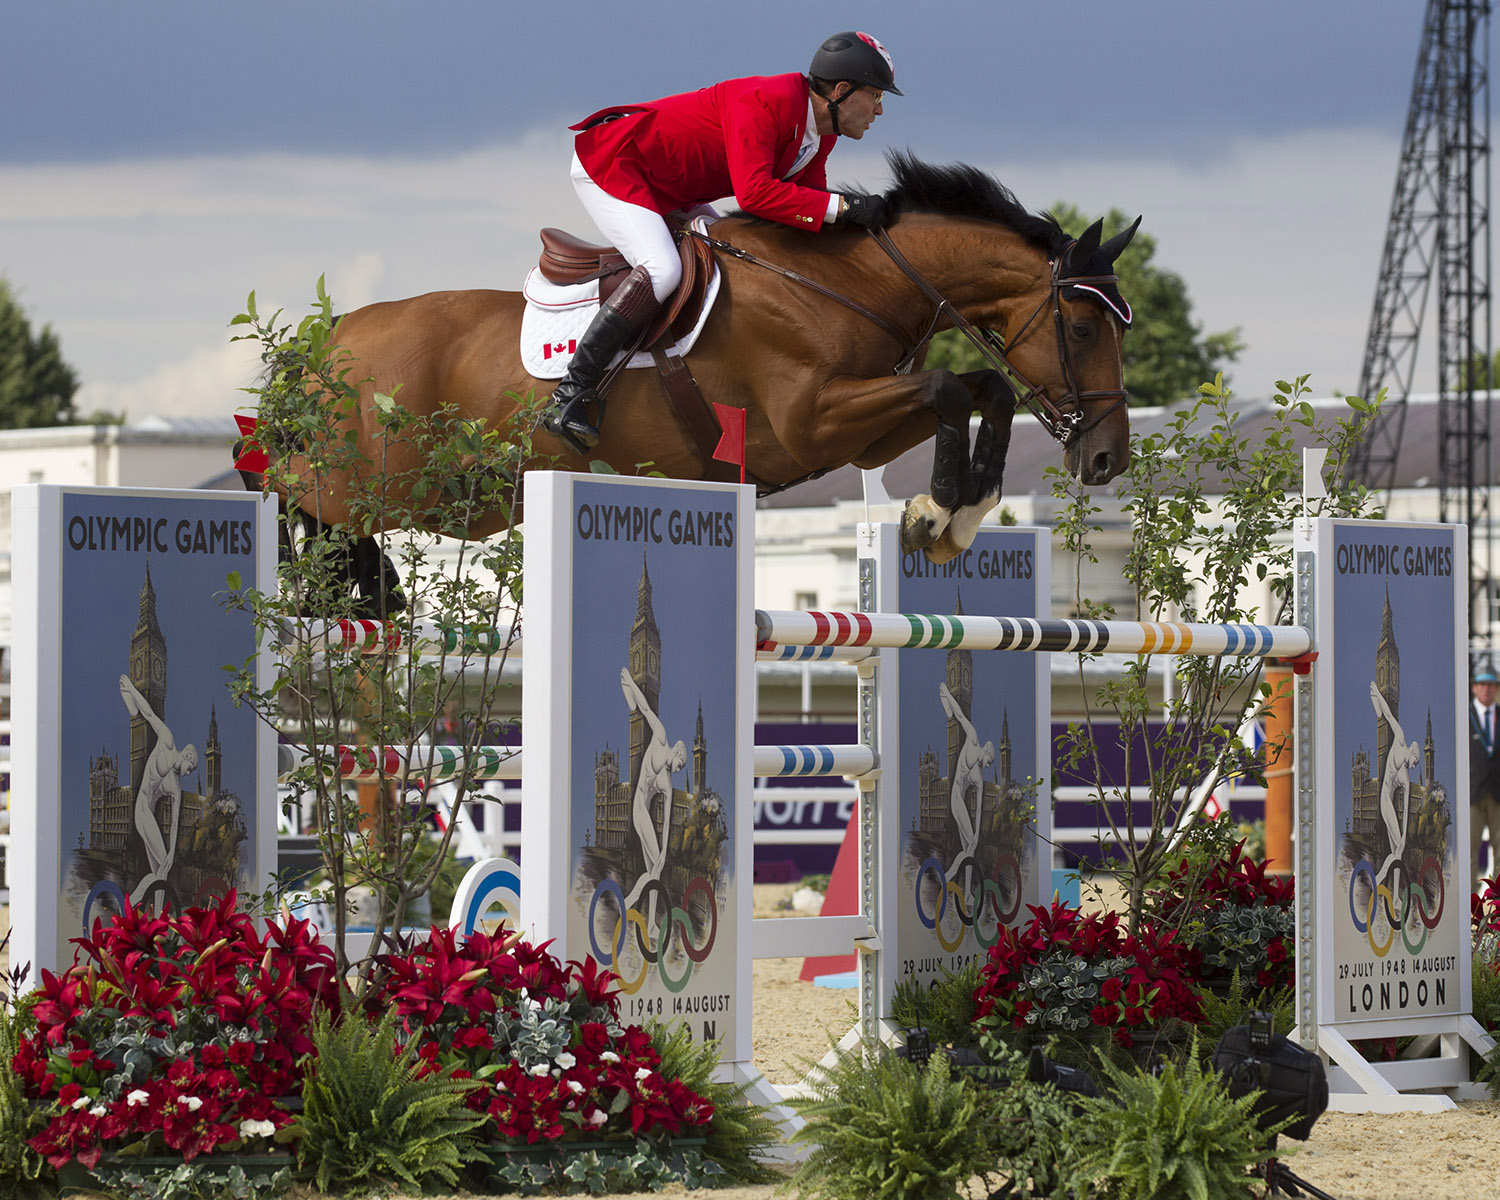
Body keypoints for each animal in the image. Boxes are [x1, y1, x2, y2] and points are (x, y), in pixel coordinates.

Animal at [261, 152, 1134, 609]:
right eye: (1083, 329)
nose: (1106, 460)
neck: (850, 281)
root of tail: (335, 333)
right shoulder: (814, 419)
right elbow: (954, 389)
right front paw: (936, 514)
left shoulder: (858, 430)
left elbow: (982, 392)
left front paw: (952, 514)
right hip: (374, 480)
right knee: (286, 489)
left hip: (451, 497)